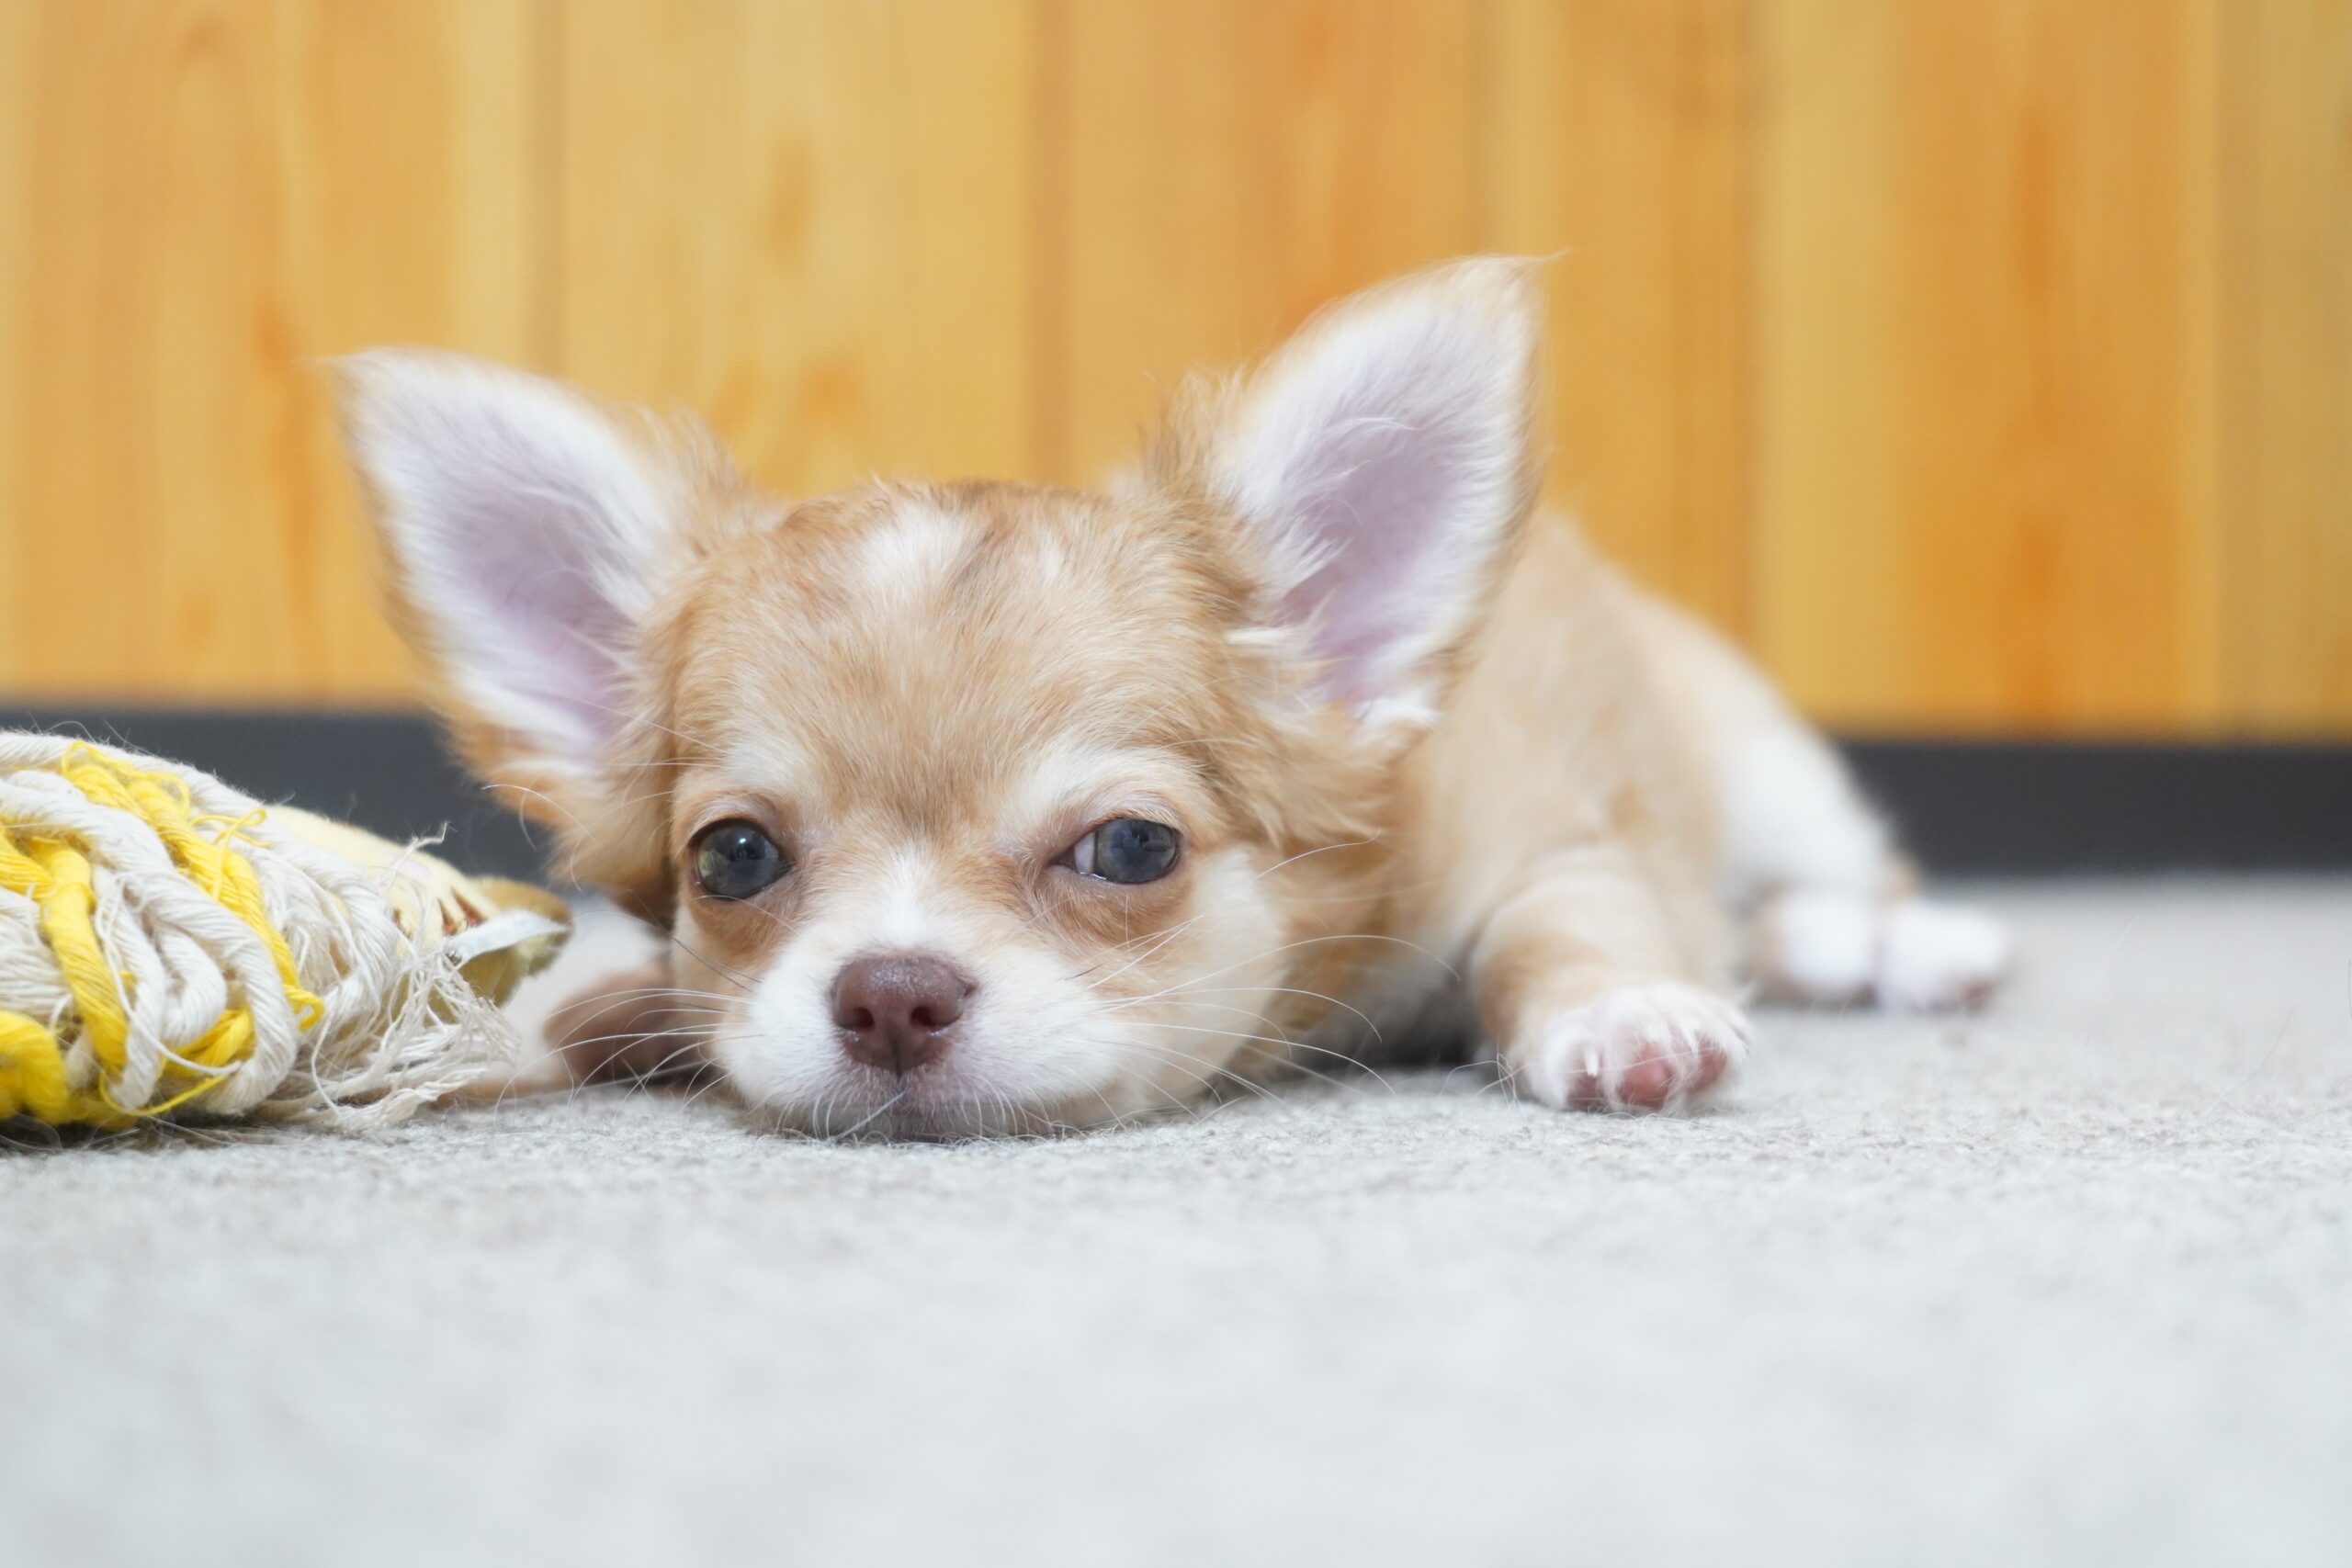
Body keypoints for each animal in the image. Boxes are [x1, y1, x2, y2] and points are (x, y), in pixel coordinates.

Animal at [341, 261, 2013, 1142]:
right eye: (733, 858)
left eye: (1132, 848)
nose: (889, 989)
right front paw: (604, 1012)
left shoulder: (1552, 840)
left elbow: (1566, 929)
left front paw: (1622, 1015)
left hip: (1769, 766)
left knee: (1830, 886)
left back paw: (1915, 947)